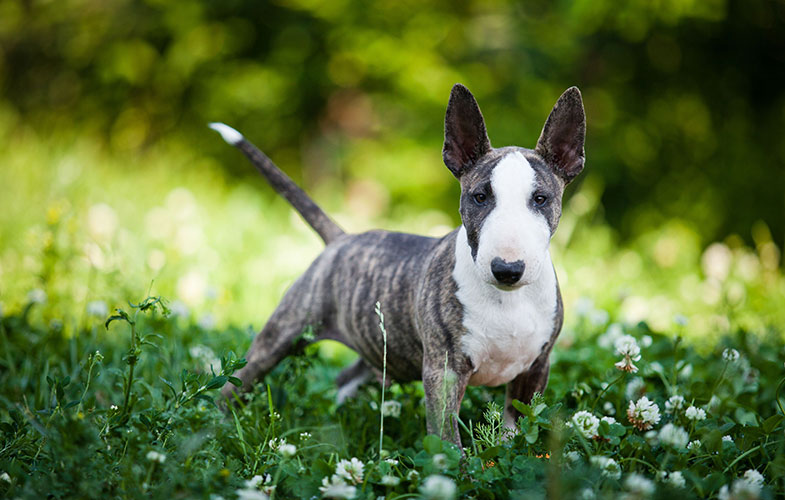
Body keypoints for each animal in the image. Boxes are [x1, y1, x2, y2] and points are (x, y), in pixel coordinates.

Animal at [208, 84, 580, 448]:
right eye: (480, 197)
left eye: (540, 199)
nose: (506, 269)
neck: (507, 299)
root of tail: (341, 240)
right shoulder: (443, 371)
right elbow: (447, 437)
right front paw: (456, 466)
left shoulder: (536, 368)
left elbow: (517, 428)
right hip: (285, 332)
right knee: (236, 383)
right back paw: (217, 430)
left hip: (378, 346)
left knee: (346, 376)